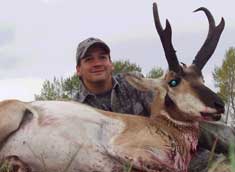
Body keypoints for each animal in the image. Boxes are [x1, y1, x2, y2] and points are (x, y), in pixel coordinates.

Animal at [0, 2, 225, 172]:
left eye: (202, 78)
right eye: (174, 81)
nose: (219, 105)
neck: (162, 126)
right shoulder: (123, 150)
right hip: (12, 115)